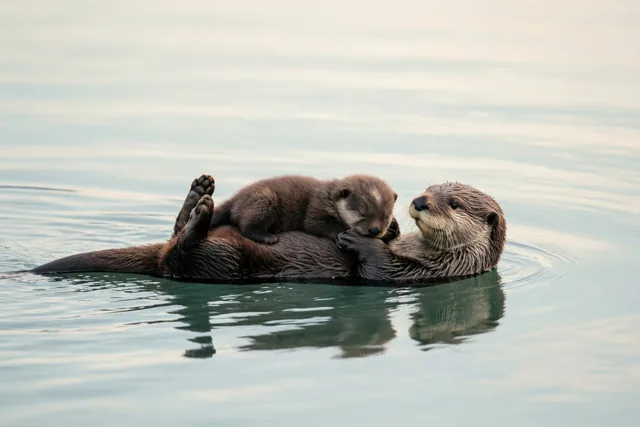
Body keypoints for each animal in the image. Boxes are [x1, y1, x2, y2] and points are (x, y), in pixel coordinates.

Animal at [208, 174, 398, 245]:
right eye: (362, 213)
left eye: (386, 217)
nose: (375, 230)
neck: (329, 199)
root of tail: (236, 198)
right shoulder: (315, 209)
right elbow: (315, 224)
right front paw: (343, 231)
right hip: (263, 201)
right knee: (247, 226)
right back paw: (267, 237)